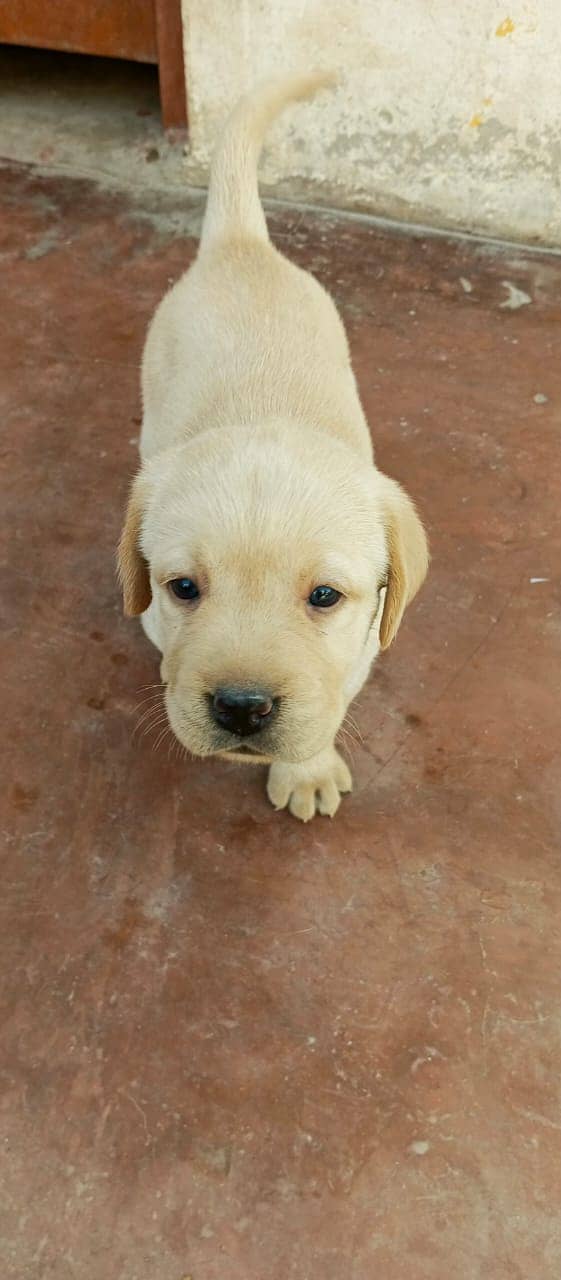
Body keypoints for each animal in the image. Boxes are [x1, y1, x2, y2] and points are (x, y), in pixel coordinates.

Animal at [115, 72, 427, 819]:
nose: (241, 706)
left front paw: (306, 769)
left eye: (324, 597)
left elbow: (331, 701)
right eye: (183, 588)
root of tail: (241, 245)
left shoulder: (359, 651)